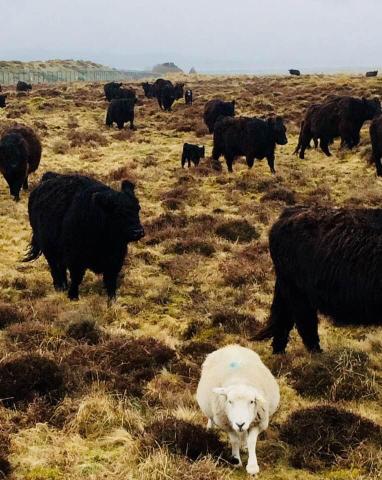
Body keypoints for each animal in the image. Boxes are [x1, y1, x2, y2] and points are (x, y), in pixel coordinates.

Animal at [25, 172, 145, 300]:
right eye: (118, 212)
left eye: (138, 208)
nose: (138, 231)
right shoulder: (75, 259)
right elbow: (76, 278)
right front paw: (73, 297)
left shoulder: (115, 259)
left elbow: (111, 282)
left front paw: (112, 300)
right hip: (48, 250)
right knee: (55, 269)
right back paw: (60, 287)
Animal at [195, 344, 280, 474]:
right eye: (230, 401)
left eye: (252, 401)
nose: (240, 424)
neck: (241, 380)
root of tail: (232, 345)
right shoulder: (226, 423)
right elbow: (234, 440)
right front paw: (236, 461)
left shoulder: (258, 422)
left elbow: (251, 441)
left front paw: (252, 467)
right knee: (211, 418)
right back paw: (209, 430)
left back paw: (244, 445)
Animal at [254, 204, 382, 354]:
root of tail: (286, 214)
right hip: (297, 293)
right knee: (305, 324)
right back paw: (317, 354)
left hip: (287, 290)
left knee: (284, 320)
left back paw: (279, 353)